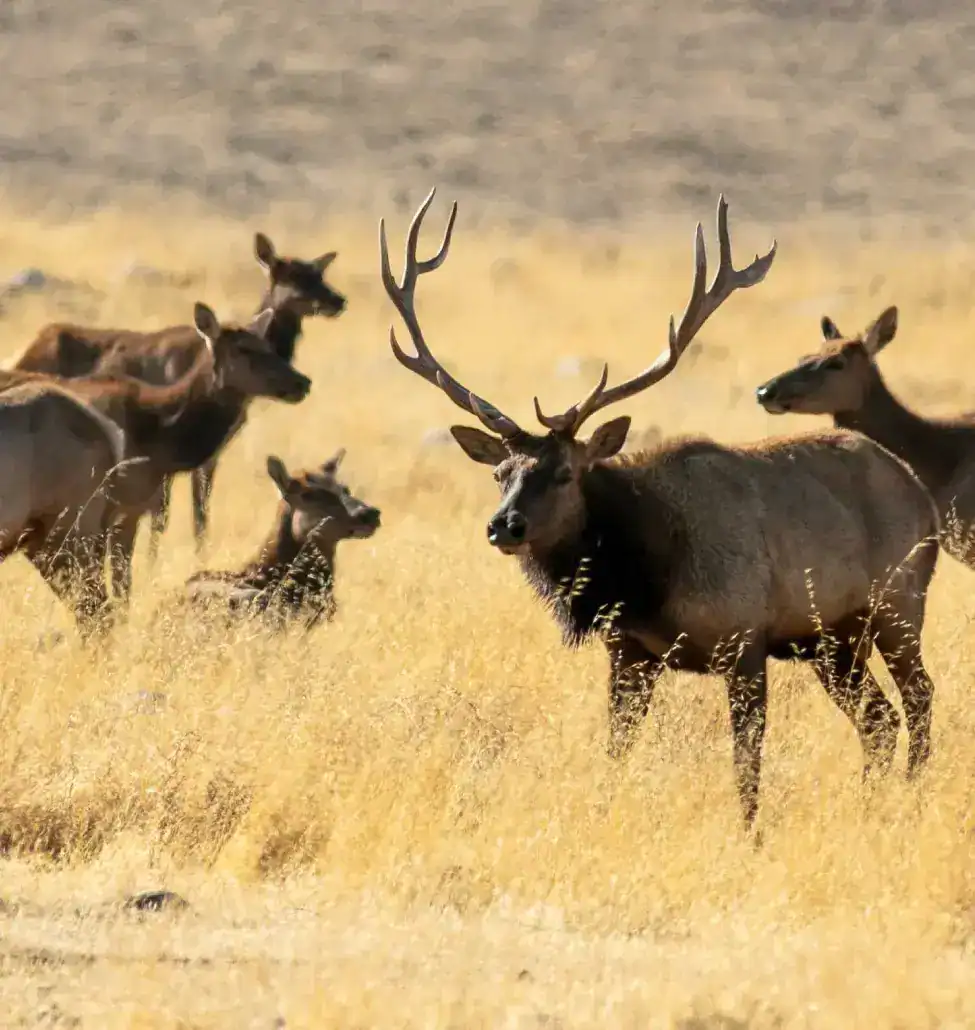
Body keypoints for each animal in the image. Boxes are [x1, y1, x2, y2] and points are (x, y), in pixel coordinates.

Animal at [0, 301, 312, 606]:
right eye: (244, 349)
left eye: (268, 345)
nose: (302, 382)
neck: (161, 441)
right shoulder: (122, 510)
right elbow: (122, 589)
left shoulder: (134, 509)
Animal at [12, 231, 346, 559]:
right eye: (292, 276)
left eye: (319, 273)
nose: (337, 300)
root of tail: (24, 351)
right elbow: (166, 517)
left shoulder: (210, 455)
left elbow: (198, 512)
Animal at [379, 188, 941, 830]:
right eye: (501, 474)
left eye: (566, 473)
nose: (505, 526)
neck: (646, 577)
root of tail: (922, 494)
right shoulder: (629, 653)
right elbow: (616, 752)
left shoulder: (744, 640)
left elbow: (746, 766)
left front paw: (748, 836)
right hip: (833, 640)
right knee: (879, 720)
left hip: (898, 605)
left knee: (918, 699)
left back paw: (911, 798)